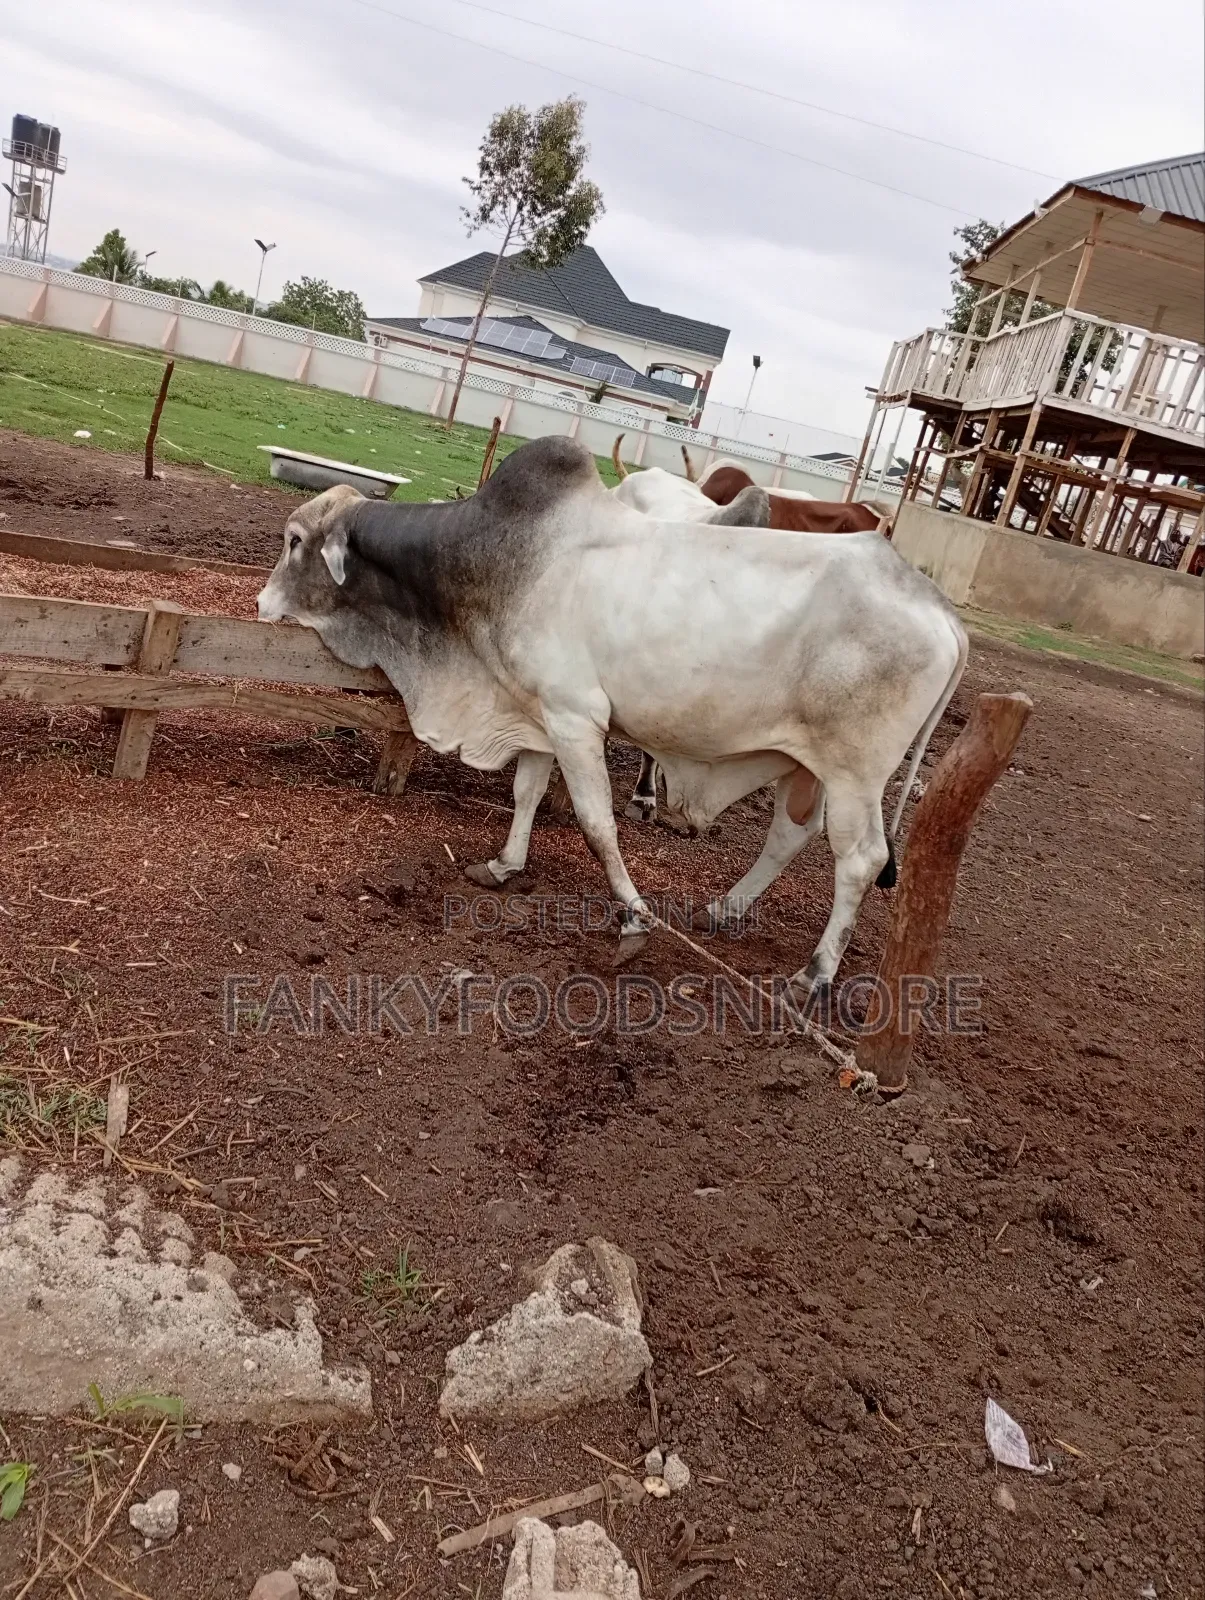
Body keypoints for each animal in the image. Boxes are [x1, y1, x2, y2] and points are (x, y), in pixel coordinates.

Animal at [257, 436, 966, 1001]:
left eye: (295, 541)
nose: (262, 603)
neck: (494, 561)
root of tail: (940, 608)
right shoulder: (538, 712)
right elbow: (526, 793)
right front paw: (505, 865)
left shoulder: (575, 718)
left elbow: (598, 826)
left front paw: (632, 918)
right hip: (806, 765)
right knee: (792, 835)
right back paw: (724, 908)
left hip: (855, 776)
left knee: (861, 860)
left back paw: (814, 974)